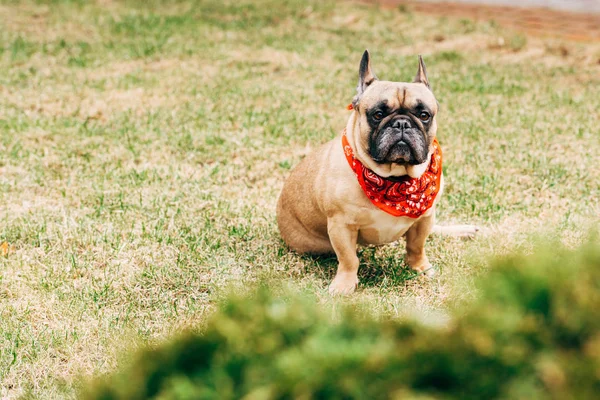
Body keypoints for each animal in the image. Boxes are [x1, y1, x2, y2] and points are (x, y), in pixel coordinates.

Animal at [276, 50, 478, 294]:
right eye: (378, 114)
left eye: (424, 115)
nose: (402, 124)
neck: (395, 179)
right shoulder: (341, 226)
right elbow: (349, 258)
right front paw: (344, 283)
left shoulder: (424, 218)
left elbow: (417, 247)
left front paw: (421, 268)